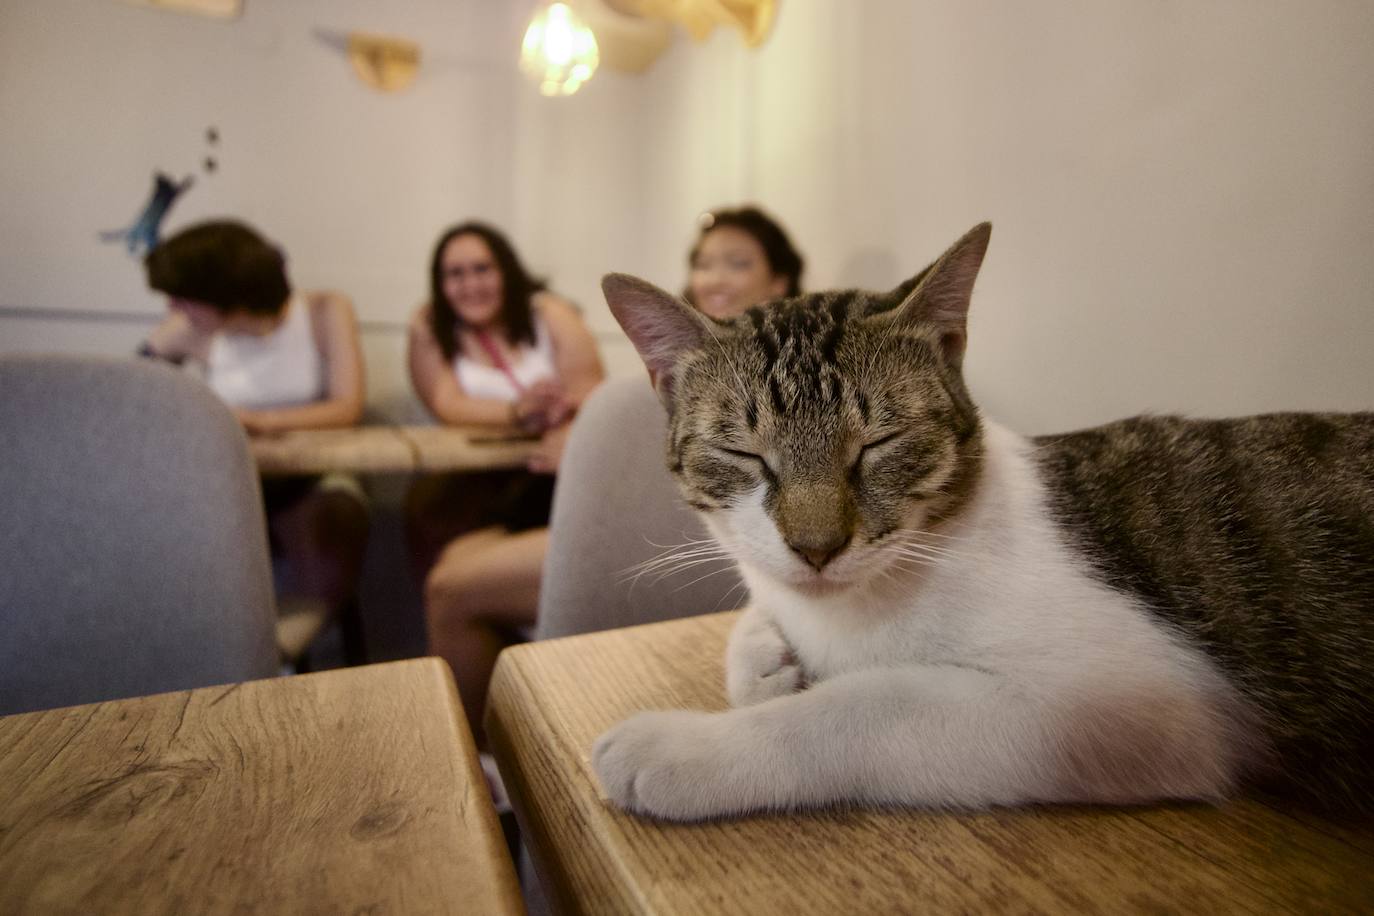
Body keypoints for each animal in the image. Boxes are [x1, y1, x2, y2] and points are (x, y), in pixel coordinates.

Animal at [596, 223, 1374, 823]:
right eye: (744, 455)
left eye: (878, 444)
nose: (817, 547)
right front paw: (764, 659)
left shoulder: (1137, 709)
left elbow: (867, 704)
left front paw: (681, 747)